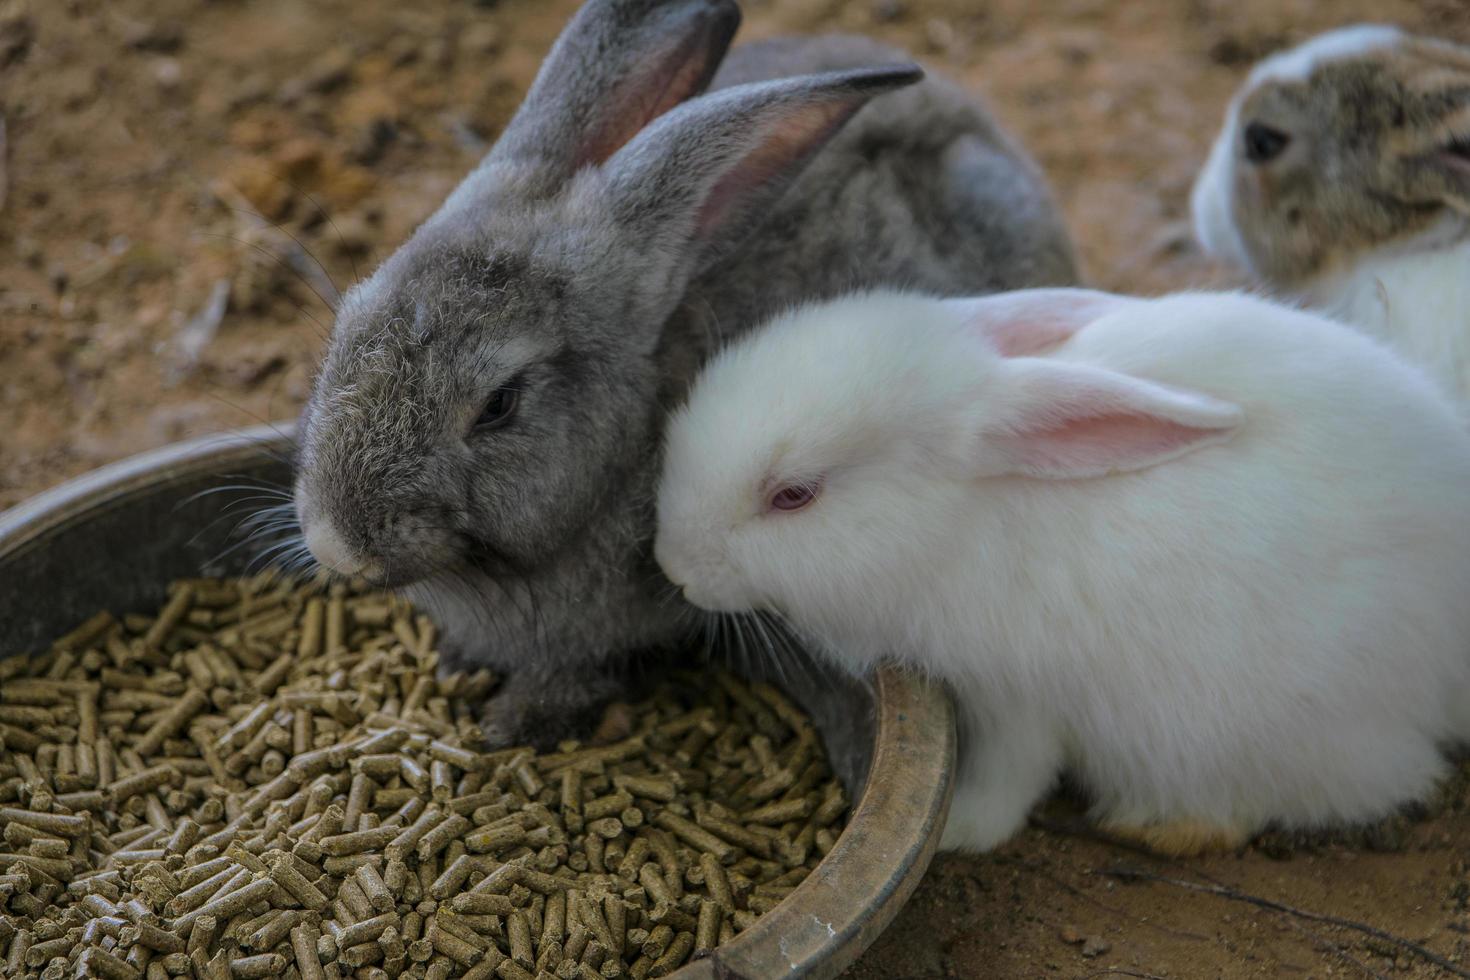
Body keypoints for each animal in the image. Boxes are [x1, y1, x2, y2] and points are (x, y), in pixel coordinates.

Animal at [661, 287, 1470, 852]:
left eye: (793, 495)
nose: (672, 566)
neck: (956, 520)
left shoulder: (1020, 701)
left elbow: (1009, 788)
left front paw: (955, 833)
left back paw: (1153, 827)